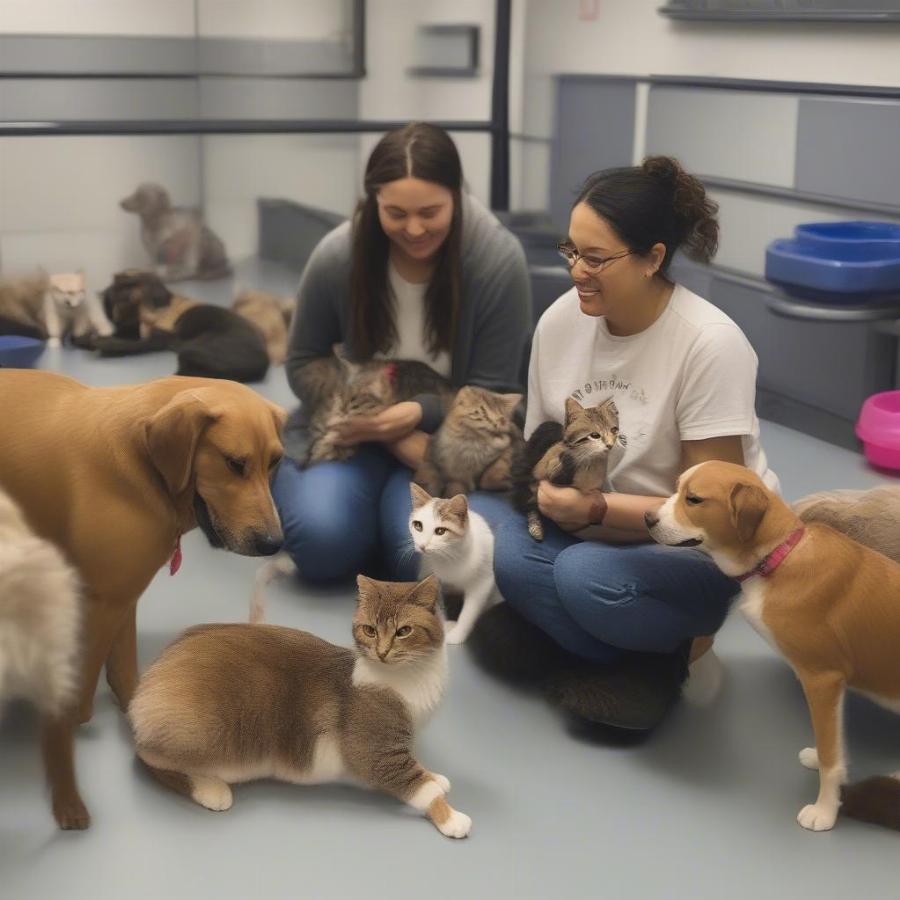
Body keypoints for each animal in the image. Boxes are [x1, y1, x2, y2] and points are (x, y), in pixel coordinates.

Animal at [0, 370, 284, 828]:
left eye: (275, 462)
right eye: (233, 463)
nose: (275, 544)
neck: (140, 462)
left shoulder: (123, 596)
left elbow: (125, 672)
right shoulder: (102, 601)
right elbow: (81, 695)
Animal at [128, 572, 472, 840]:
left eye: (404, 631)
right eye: (370, 630)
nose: (382, 652)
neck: (408, 677)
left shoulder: (396, 747)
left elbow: (420, 769)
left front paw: (436, 777)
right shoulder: (377, 754)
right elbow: (418, 786)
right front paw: (452, 818)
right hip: (204, 734)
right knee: (147, 755)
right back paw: (210, 790)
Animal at [408, 486, 500, 648]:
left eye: (440, 531)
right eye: (418, 526)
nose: (422, 545)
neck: (449, 557)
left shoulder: (483, 582)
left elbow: (469, 612)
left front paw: (458, 634)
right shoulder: (429, 575)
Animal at [648, 464, 900, 836]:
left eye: (693, 499)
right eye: (676, 487)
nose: (647, 517)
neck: (780, 557)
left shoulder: (823, 679)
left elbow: (830, 756)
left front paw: (825, 810)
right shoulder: (829, 690)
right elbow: (831, 742)